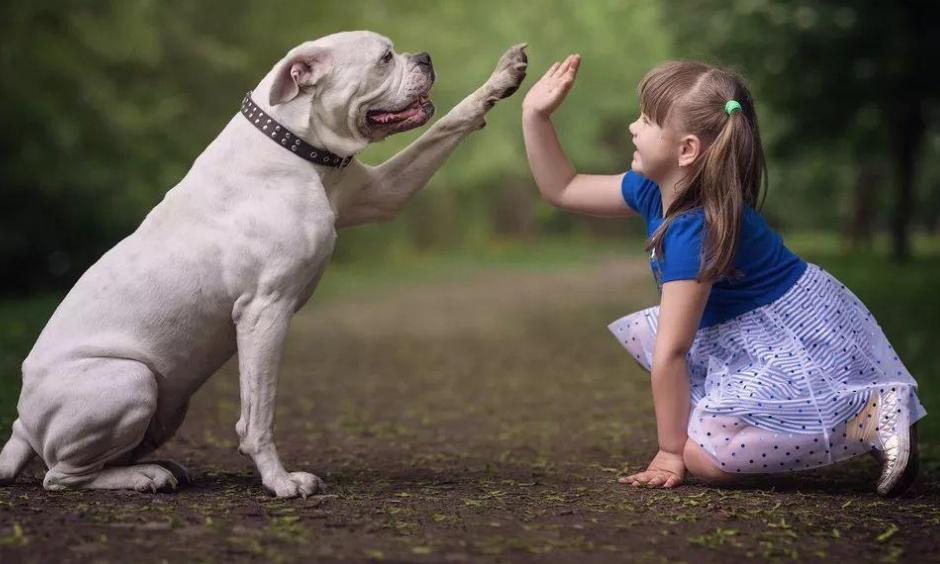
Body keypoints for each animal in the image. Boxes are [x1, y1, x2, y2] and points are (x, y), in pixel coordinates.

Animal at [0, 30, 524, 498]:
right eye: (384, 58)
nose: (425, 57)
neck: (293, 144)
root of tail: (21, 425)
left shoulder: (382, 194)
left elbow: (446, 125)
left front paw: (501, 78)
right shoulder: (264, 311)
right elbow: (259, 414)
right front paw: (281, 483)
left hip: (166, 404)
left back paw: (159, 466)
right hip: (129, 379)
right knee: (59, 476)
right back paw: (143, 477)